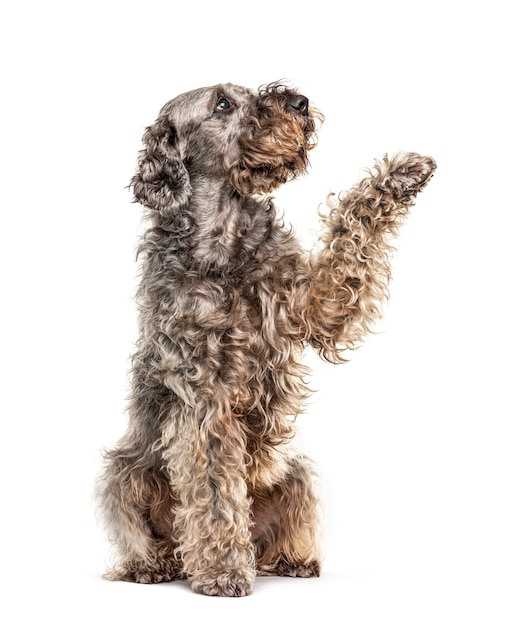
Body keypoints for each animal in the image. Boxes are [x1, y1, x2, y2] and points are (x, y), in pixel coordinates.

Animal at [97, 81, 436, 596]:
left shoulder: (318, 305)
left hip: (295, 473)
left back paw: (289, 560)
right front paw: (221, 570)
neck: (226, 243)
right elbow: (215, 494)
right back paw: (154, 565)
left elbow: (349, 238)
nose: (299, 102)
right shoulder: (205, 400)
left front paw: (398, 176)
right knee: (153, 537)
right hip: (123, 473)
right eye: (222, 103)